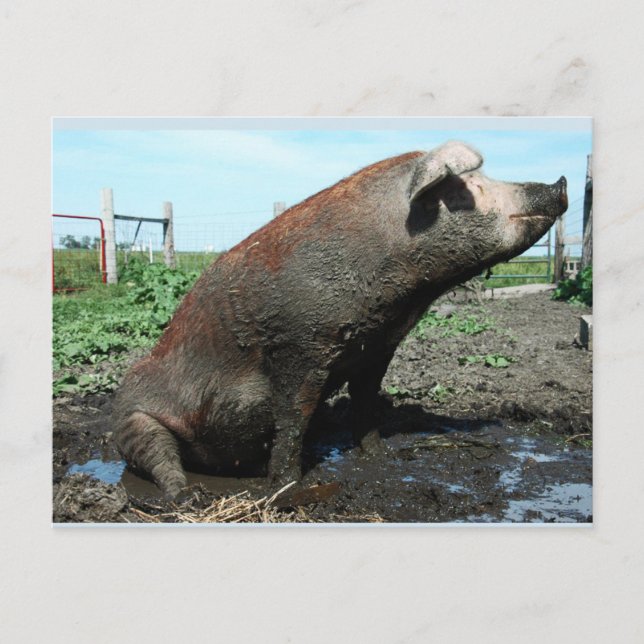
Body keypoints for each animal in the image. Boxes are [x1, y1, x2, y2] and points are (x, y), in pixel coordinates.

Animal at [113, 141, 568, 498]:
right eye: (471, 188)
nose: (561, 182)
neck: (400, 298)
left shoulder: (376, 349)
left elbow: (366, 406)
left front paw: (382, 456)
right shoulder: (299, 346)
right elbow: (292, 419)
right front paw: (287, 486)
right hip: (133, 421)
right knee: (159, 458)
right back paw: (186, 495)